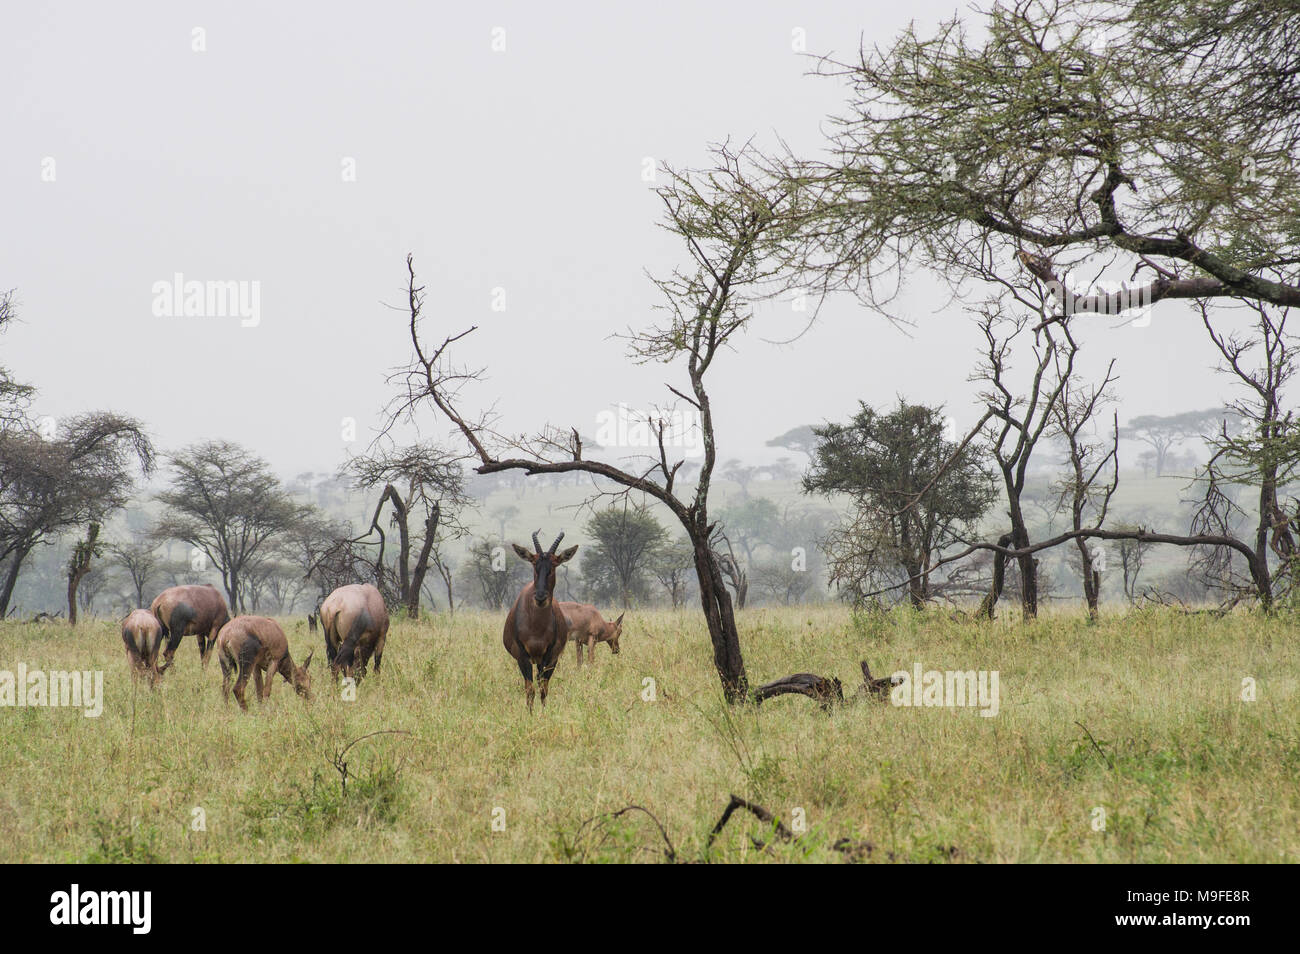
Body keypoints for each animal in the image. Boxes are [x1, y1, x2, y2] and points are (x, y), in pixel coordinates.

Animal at [504, 535, 577, 712]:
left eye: (554, 565)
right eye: (534, 565)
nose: (540, 597)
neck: (536, 627)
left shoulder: (549, 656)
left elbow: (543, 688)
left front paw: (543, 713)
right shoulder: (522, 656)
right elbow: (530, 689)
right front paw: (530, 714)